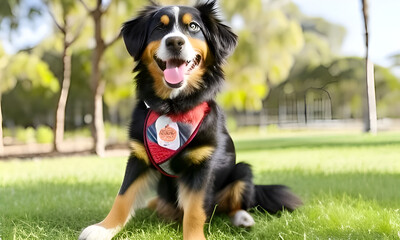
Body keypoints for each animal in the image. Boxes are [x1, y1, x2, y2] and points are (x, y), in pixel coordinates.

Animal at [79, 0, 300, 239]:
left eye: (193, 27)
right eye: (160, 27)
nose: (175, 41)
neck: (173, 107)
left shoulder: (202, 164)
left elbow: (194, 210)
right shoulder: (138, 157)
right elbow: (122, 197)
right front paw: (104, 228)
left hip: (241, 170)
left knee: (234, 203)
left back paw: (243, 219)